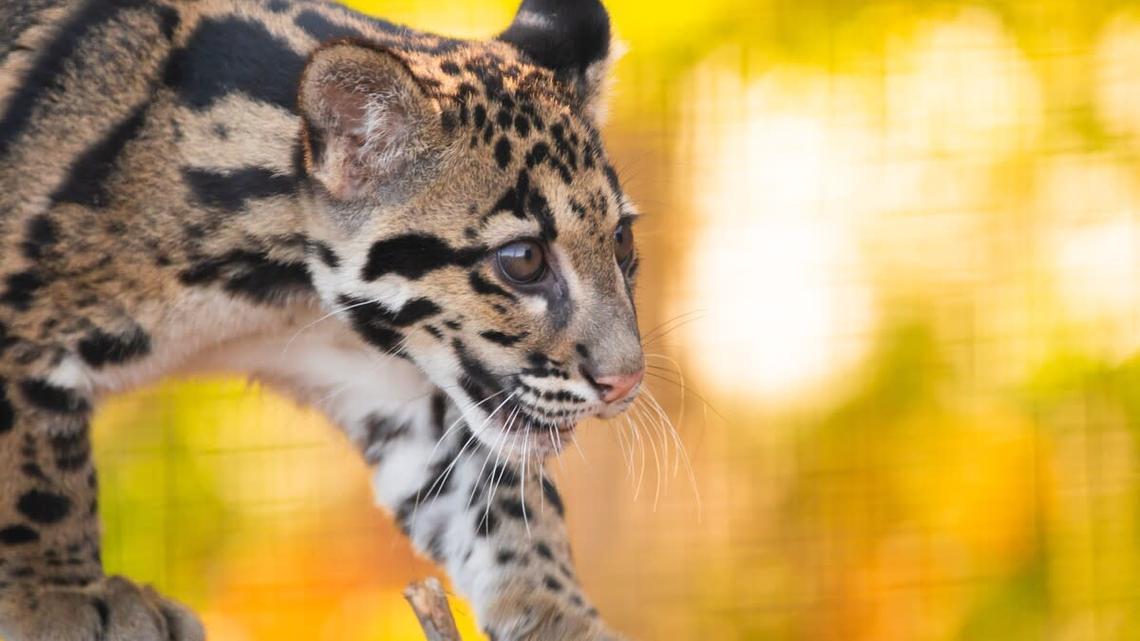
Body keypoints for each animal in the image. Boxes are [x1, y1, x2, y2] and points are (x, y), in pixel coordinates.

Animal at [0, 0, 646, 638]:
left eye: (621, 240)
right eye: (523, 259)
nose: (626, 382)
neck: (277, 293)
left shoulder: (390, 383)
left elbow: (493, 498)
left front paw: (567, 617)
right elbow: (33, 464)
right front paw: (57, 593)